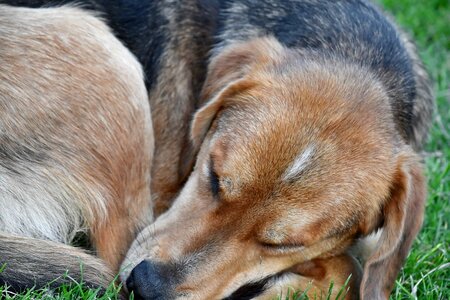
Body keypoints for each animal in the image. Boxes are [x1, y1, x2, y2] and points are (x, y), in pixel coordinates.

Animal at [1, 0, 434, 300]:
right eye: (212, 175)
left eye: (282, 244)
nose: (147, 287)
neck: (352, 48)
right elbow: (347, 270)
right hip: (103, 55)